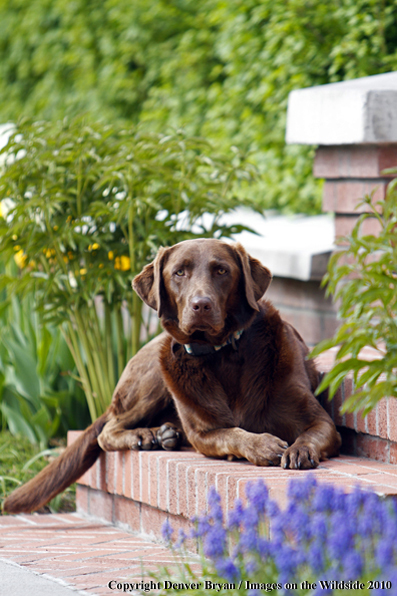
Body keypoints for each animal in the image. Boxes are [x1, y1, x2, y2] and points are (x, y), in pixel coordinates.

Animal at [2, 237, 340, 512]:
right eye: (179, 272)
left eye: (221, 271)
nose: (201, 305)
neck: (221, 354)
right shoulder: (204, 434)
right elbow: (233, 433)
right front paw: (263, 445)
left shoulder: (320, 420)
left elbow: (311, 432)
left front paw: (299, 449)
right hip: (155, 374)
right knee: (106, 431)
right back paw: (145, 436)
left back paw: (163, 435)